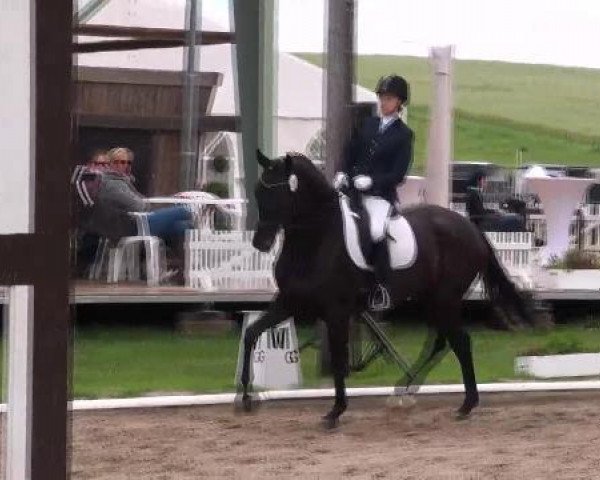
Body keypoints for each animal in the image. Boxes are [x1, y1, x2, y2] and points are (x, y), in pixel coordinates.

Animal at [239, 151, 536, 428]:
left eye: (277, 194)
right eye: (257, 191)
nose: (260, 243)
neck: (316, 240)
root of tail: (472, 228)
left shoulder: (336, 312)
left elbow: (339, 359)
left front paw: (336, 412)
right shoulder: (288, 302)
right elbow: (251, 334)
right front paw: (245, 397)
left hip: (445, 298)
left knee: (460, 342)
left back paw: (465, 404)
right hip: (430, 300)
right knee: (441, 342)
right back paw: (405, 389)